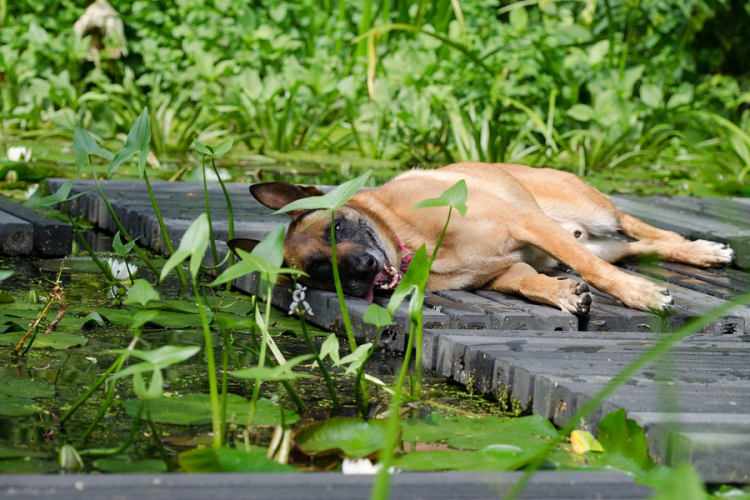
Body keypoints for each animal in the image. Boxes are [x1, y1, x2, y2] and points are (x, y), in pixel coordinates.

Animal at [229, 162, 736, 314]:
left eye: (335, 228)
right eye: (317, 270)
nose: (361, 272)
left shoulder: (526, 224)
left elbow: (595, 272)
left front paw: (639, 295)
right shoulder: (503, 272)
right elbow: (528, 282)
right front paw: (562, 294)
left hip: (594, 212)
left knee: (639, 228)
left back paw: (702, 249)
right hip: (597, 239)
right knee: (637, 246)